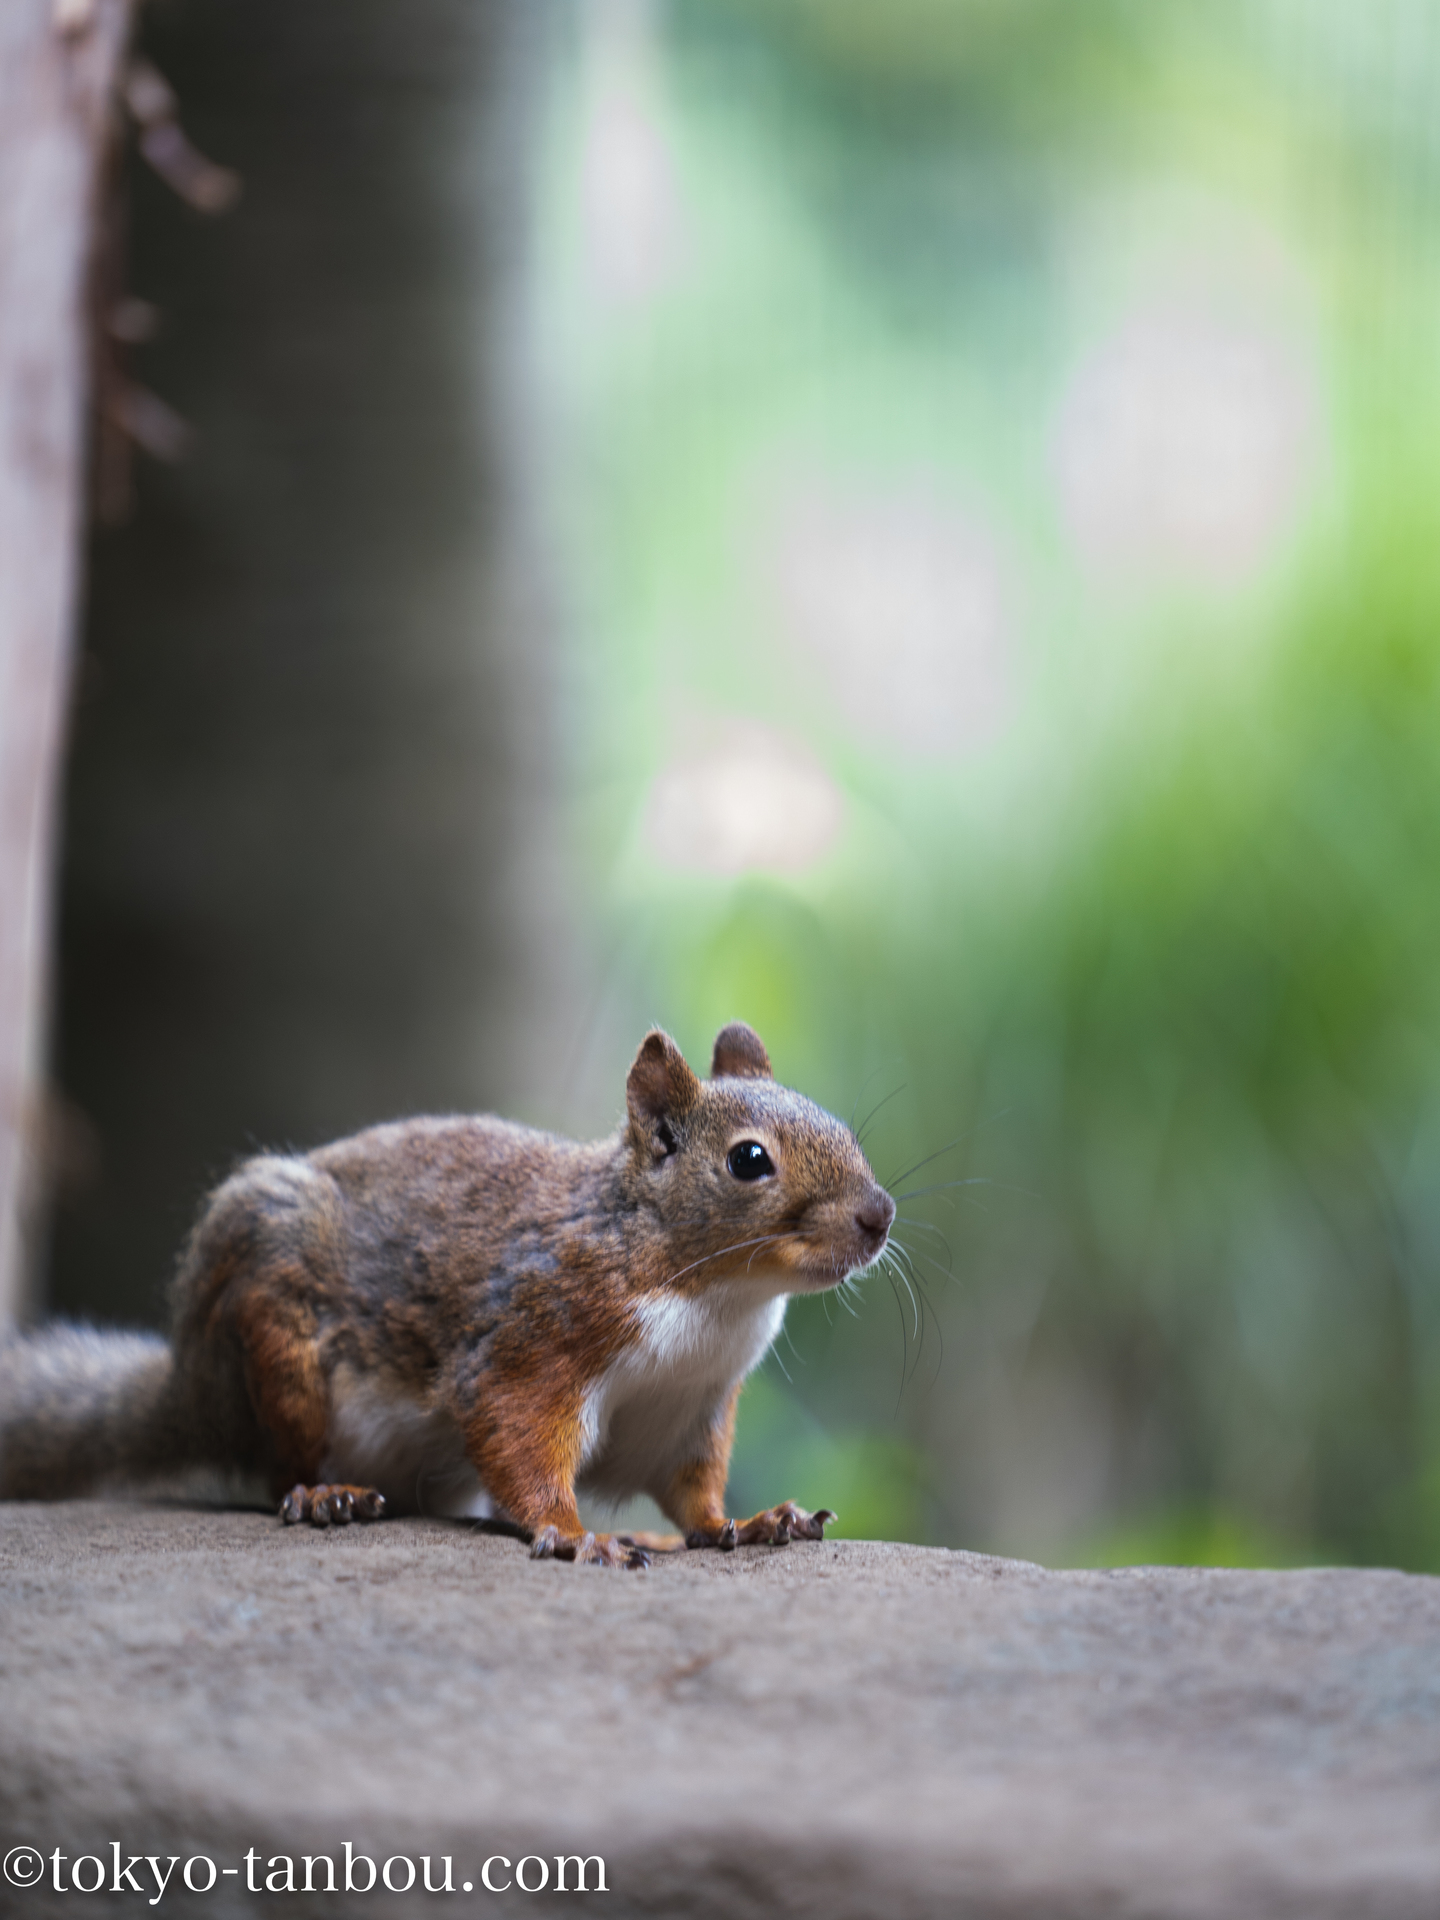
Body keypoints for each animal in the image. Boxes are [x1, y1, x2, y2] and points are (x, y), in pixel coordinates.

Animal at [0, 1021, 898, 1559]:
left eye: (836, 1121)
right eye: (749, 1160)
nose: (880, 1216)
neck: (714, 1297)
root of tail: (188, 1389)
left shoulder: (689, 1406)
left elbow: (693, 1493)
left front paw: (753, 1521)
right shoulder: (535, 1340)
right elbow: (517, 1434)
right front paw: (573, 1534)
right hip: (275, 1348)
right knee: (275, 1466)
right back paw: (324, 1495)